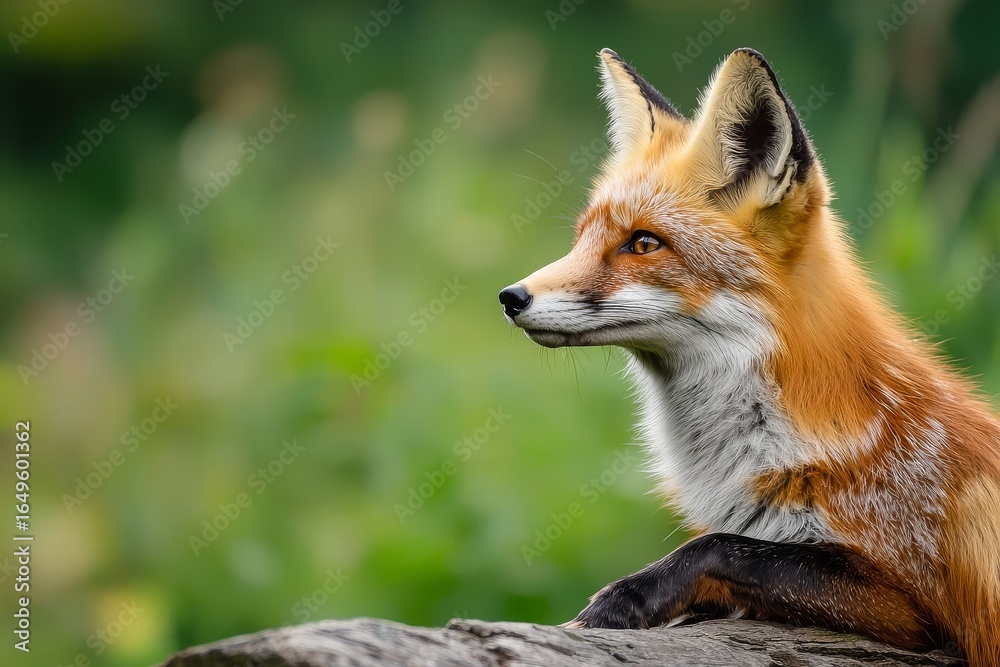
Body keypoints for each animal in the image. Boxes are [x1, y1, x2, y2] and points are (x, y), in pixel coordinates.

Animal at [499, 47, 1000, 664]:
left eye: (643, 243)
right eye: (582, 239)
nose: (511, 298)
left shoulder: (920, 608)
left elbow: (723, 547)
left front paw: (622, 601)